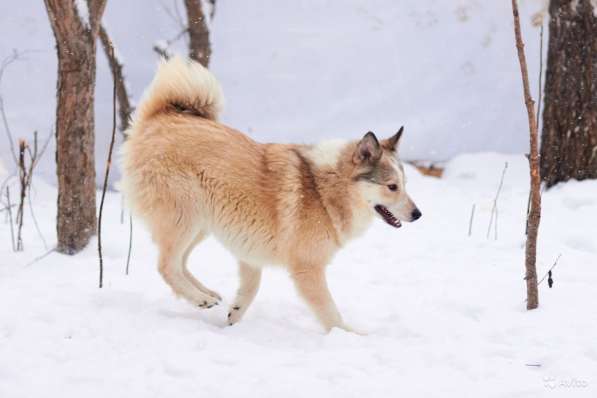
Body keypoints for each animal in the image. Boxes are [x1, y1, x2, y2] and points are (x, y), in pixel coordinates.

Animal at [120, 56, 420, 332]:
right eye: (392, 186)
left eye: (405, 183)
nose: (418, 214)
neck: (325, 189)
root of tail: (160, 116)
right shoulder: (307, 269)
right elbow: (331, 313)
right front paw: (350, 337)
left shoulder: (249, 252)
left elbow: (249, 291)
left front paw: (232, 320)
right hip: (186, 216)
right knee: (166, 265)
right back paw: (199, 299)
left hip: (201, 224)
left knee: (179, 262)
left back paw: (206, 294)